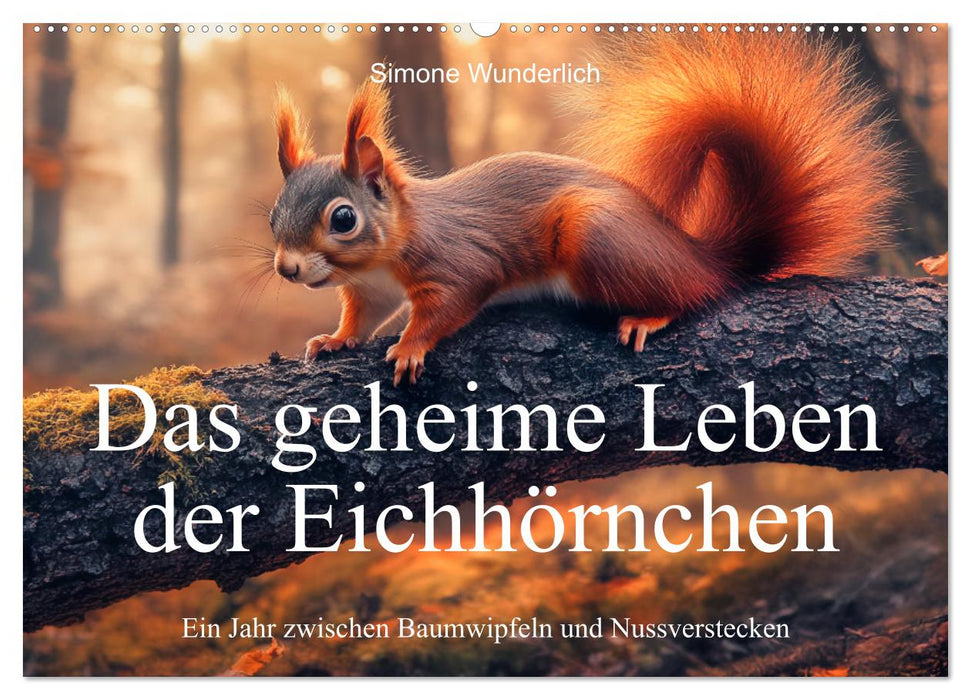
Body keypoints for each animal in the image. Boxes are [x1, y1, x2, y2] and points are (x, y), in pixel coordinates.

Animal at [268, 32, 897, 386]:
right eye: (273, 215)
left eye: (343, 219)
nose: (286, 269)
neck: (385, 254)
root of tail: (700, 256)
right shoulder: (370, 290)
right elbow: (361, 318)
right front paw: (334, 340)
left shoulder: (457, 262)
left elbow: (447, 306)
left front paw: (409, 347)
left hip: (597, 236)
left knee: (690, 294)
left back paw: (650, 316)